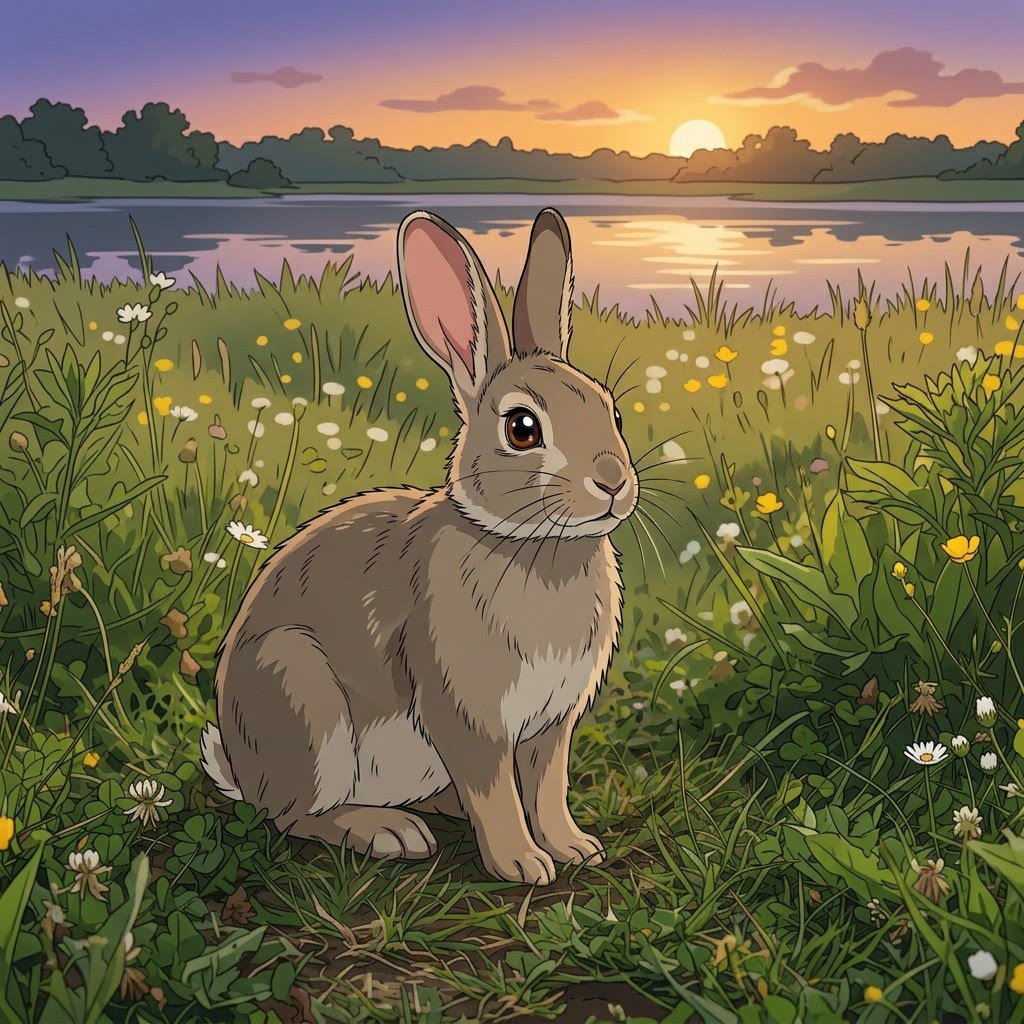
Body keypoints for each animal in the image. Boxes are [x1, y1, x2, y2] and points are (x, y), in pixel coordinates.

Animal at [201, 207, 638, 885]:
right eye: (522, 429)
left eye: (613, 412)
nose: (614, 483)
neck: (529, 545)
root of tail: (244, 771)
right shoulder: (467, 713)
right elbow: (496, 792)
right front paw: (523, 864)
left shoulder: (551, 724)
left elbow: (547, 789)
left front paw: (574, 847)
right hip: (302, 698)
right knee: (297, 815)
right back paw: (387, 831)